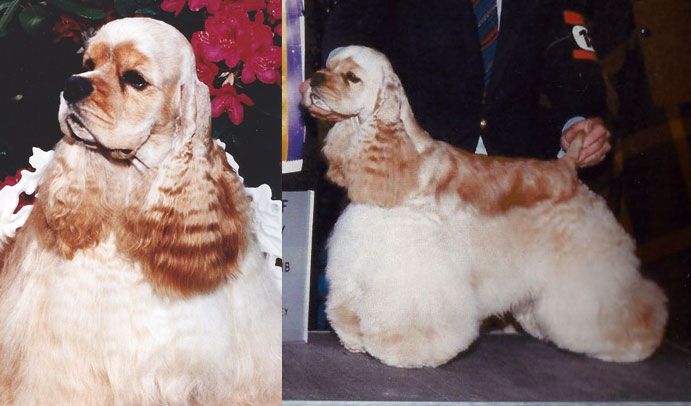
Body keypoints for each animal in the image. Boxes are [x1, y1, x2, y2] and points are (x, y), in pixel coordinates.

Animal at [302, 45, 667, 368]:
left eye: (351, 77)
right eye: (326, 66)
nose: (314, 79)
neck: (402, 158)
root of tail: (568, 169)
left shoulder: (417, 268)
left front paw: (402, 349)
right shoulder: (358, 257)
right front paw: (354, 338)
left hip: (588, 264)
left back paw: (631, 344)